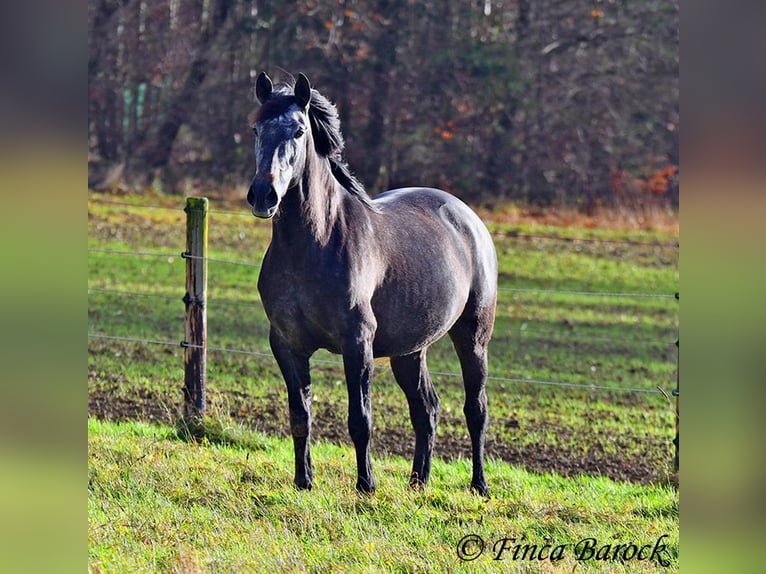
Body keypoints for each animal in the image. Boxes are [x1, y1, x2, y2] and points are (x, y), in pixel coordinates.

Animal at [246, 71, 498, 496]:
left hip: (472, 337)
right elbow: (300, 415)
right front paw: (303, 481)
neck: (313, 243)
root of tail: (467, 217)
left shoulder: (357, 342)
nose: (264, 195)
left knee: (475, 409)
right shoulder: (286, 344)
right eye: (257, 129)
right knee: (426, 409)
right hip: (410, 351)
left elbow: (360, 419)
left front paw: (366, 485)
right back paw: (418, 482)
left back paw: (479, 485)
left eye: (298, 131)